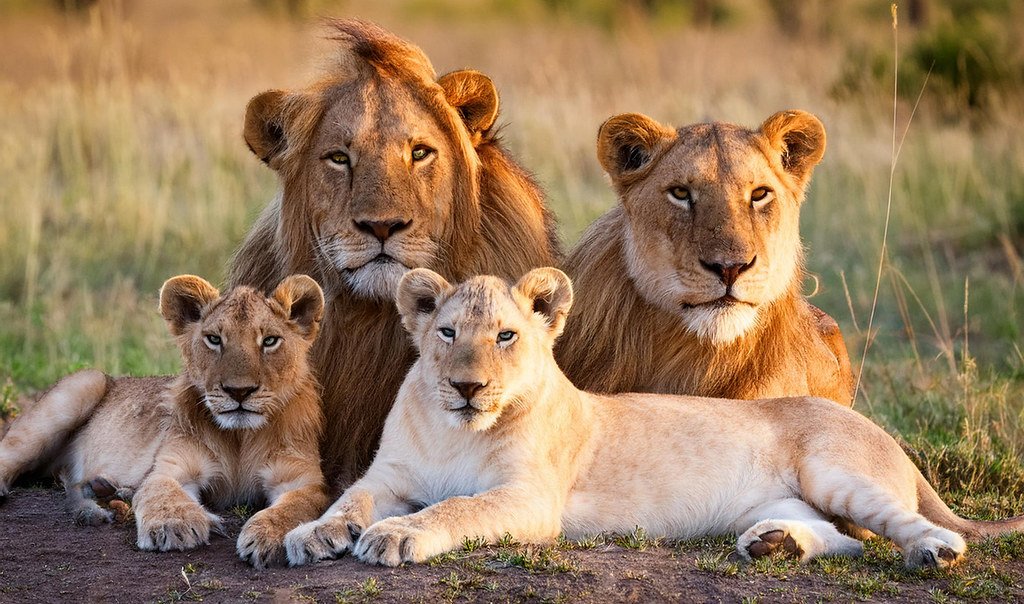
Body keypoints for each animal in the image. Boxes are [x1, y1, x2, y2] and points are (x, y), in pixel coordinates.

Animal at [0, 275, 329, 568]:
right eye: (214, 339)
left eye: (270, 341)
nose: (239, 391)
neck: (240, 438)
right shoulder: (171, 466)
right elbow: (162, 492)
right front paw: (174, 525)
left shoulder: (301, 479)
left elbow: (295, 506)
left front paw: (268, 536)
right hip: (85, 383)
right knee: (11, 451)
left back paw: (108, 491)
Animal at [281, 267, 1023, 569]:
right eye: (447, 333)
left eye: (505, 337)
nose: (467, 387)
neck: (454, 429)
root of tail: (882, 432)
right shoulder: (389, 476)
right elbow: (349, 501)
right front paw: (312, 535)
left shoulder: (529, 497)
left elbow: (455, 508)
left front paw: (396, 537)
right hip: (798, 499)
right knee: (847, 540)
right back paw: (774, 545)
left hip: (836, 471)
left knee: (911, 527)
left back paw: (931, 554)